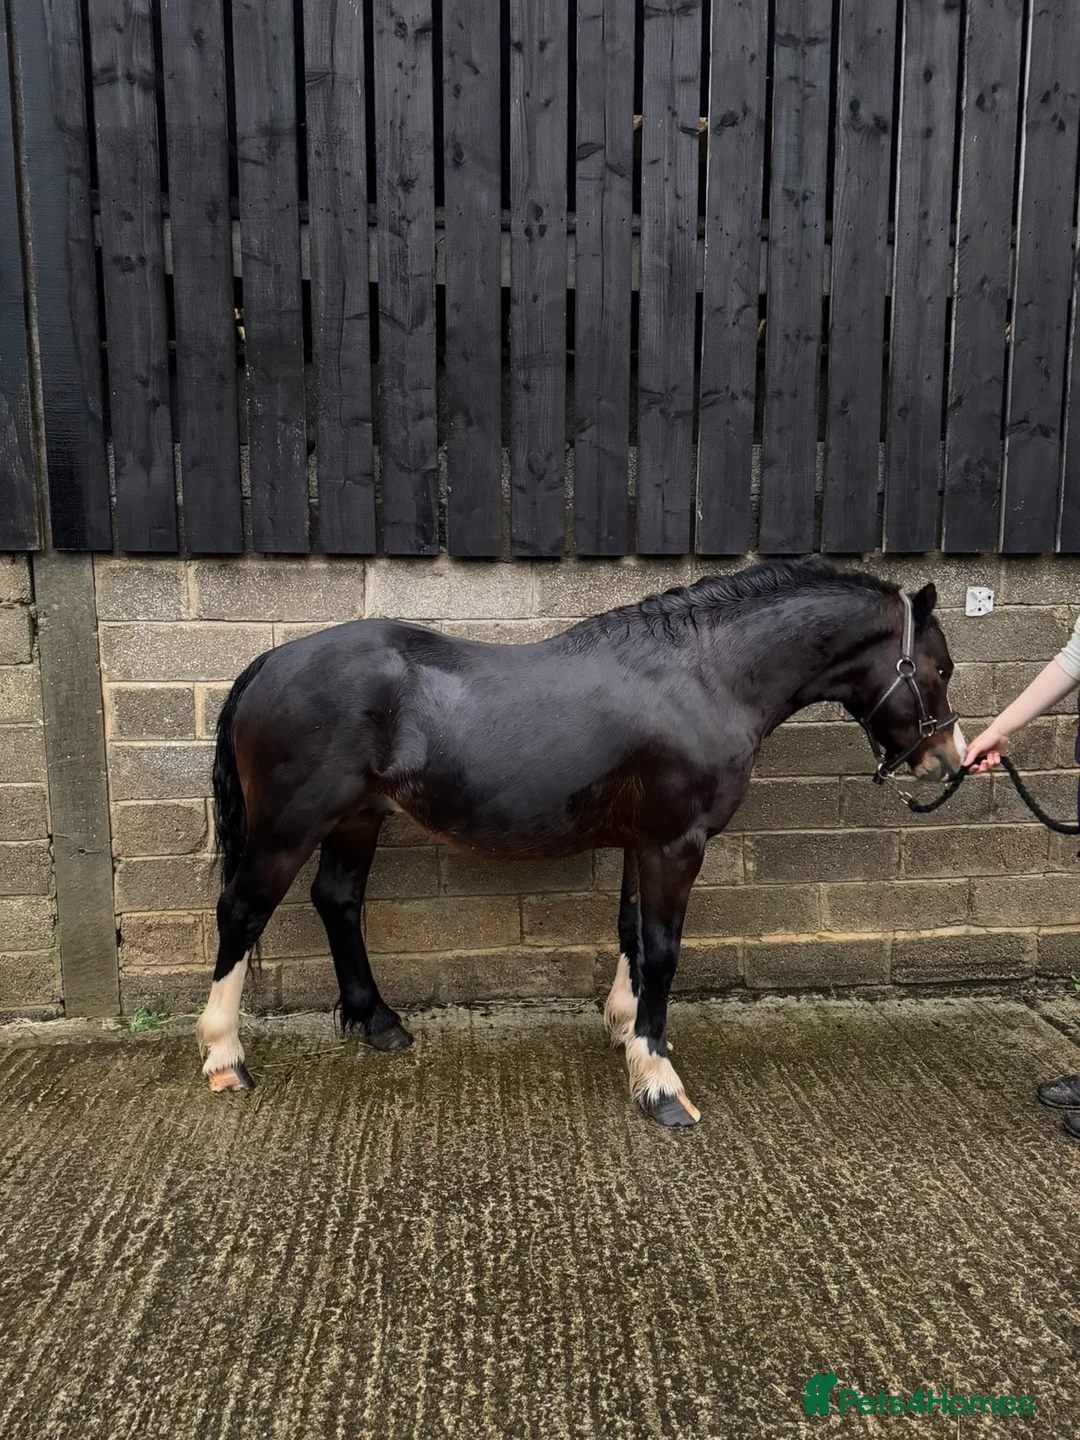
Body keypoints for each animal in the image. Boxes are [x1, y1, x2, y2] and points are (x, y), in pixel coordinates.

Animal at [196, 559, 964, 1127]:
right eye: (939, 668)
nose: (948, 758)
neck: (704, 674)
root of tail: (268, 663)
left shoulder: (642, 842)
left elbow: (631, 932)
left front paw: (626, 1031)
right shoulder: (675, 843)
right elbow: (662, 948)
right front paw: (659, 1083)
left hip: (358, 819)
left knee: (338, 900)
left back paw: (378, 1021)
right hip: (290, 827)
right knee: (242, 911)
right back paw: (225, 1058)